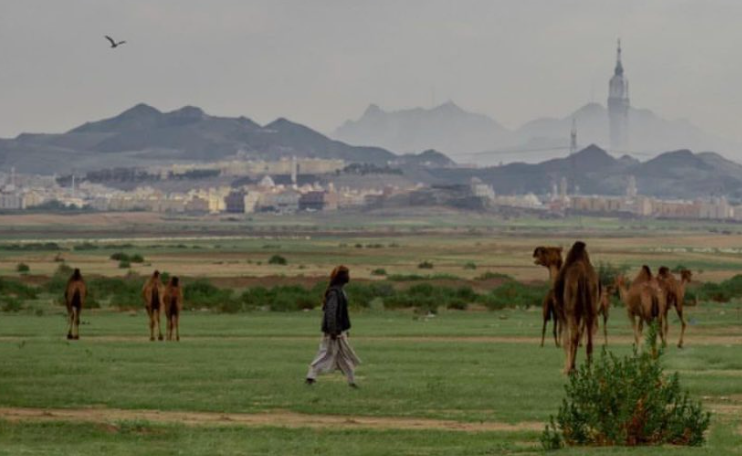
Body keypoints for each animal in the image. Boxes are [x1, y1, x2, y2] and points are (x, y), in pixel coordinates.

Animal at [556, 242, 600, 374]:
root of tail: (583, 275)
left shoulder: (562, 313)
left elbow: (566, 340)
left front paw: (567, 368)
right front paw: (572, 366)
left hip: (570, 311)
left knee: (574, 335)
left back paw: (570, 369)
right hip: (591, 307)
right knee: (589, 336)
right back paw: (589, 369)